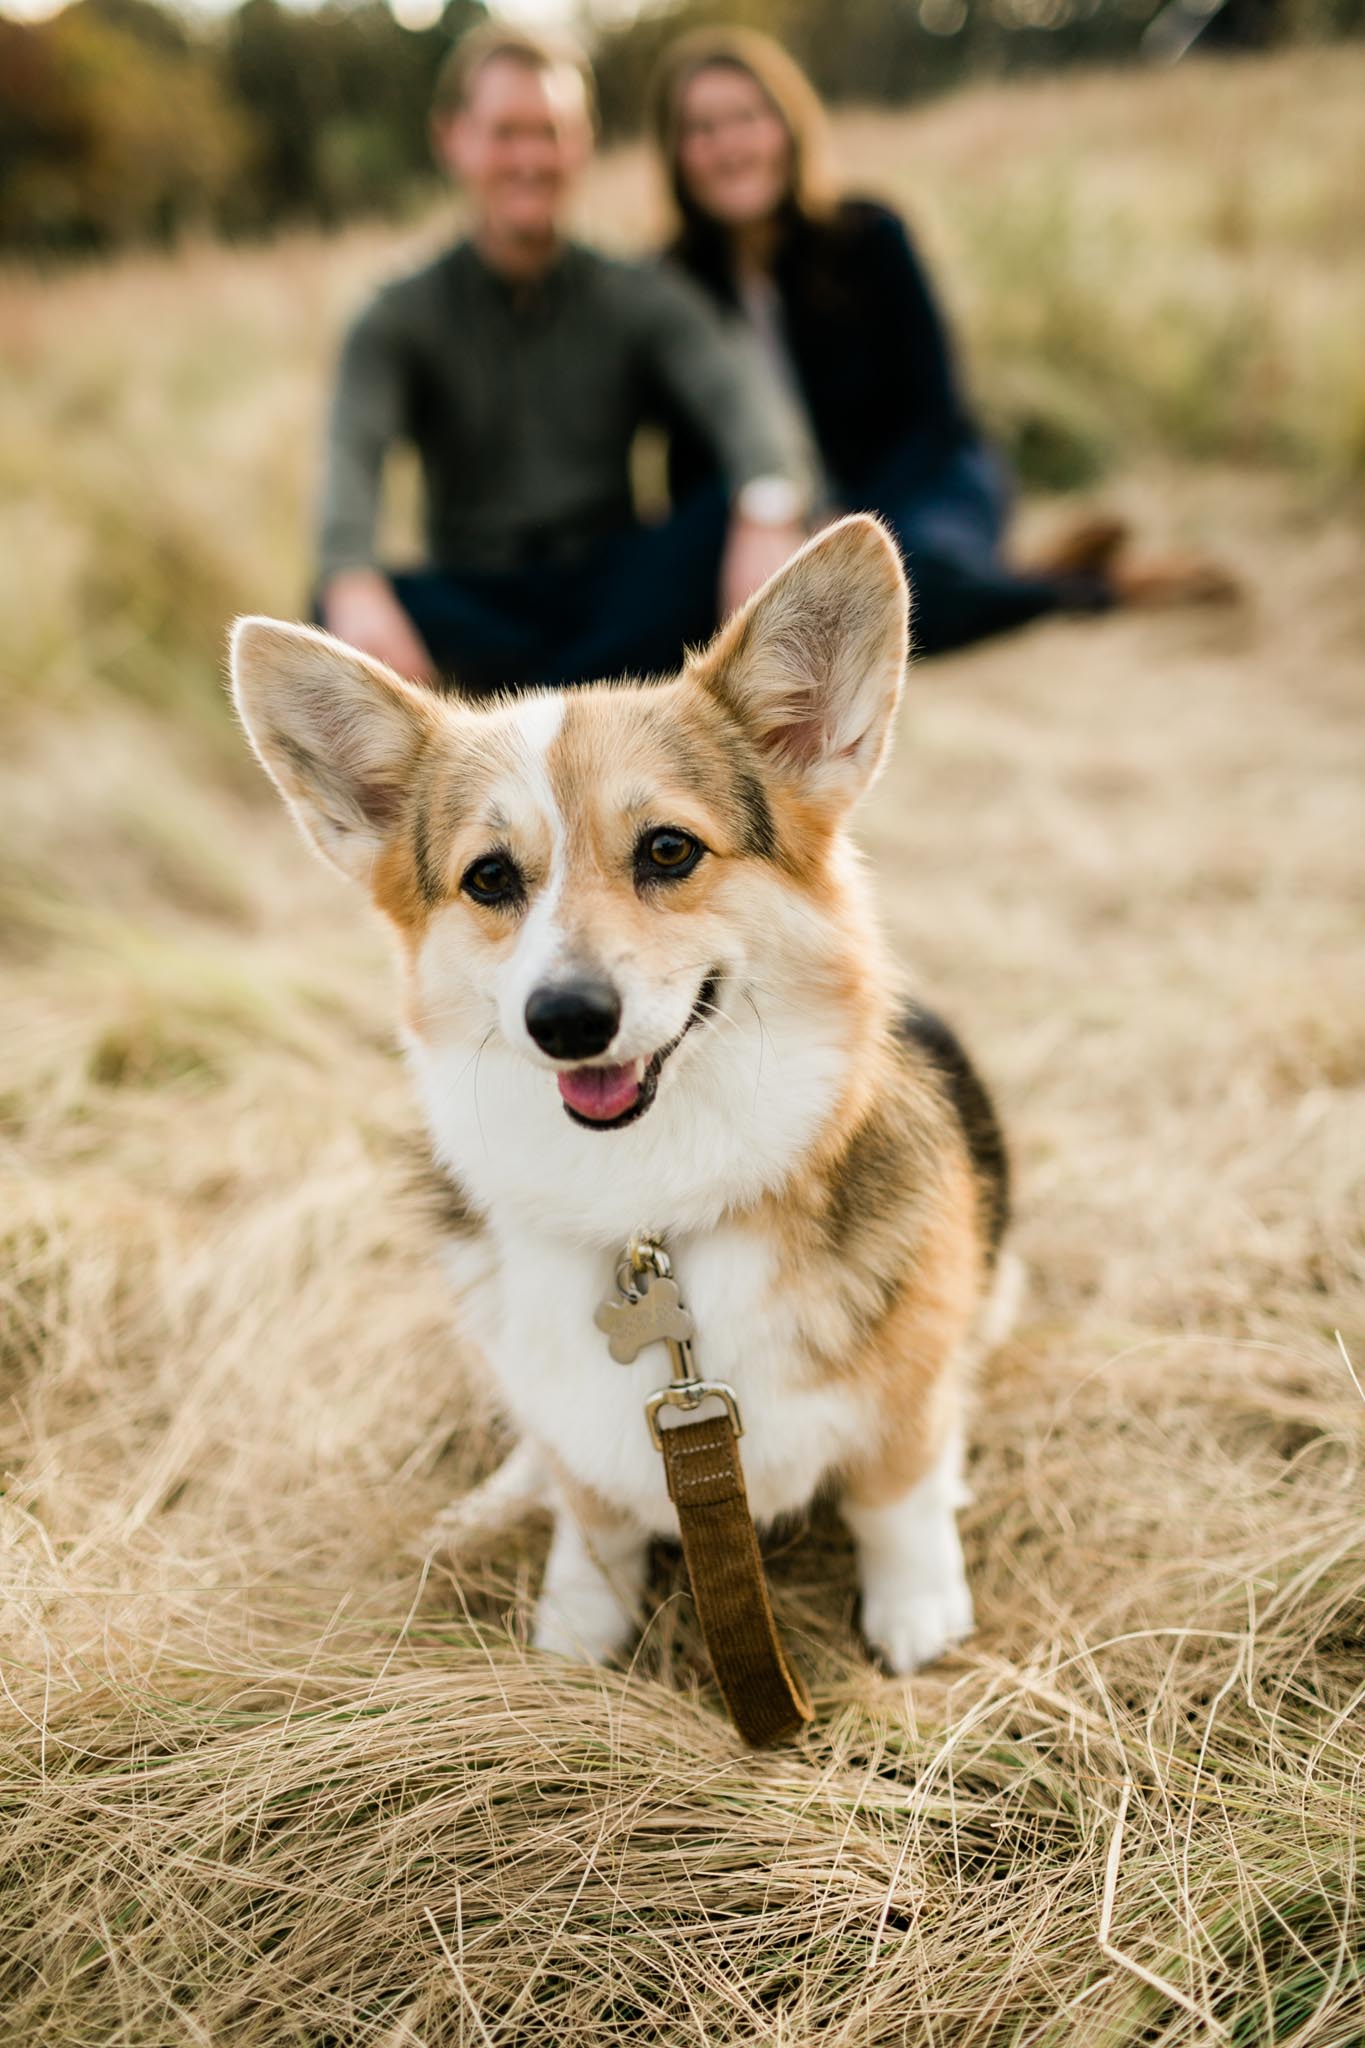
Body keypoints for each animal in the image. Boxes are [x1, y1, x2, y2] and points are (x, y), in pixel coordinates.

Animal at [229, 516, 1010, 1679]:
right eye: (490, 878)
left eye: (669, 850)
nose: (564, 1018)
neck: (649, 1200)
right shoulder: (580, 1435)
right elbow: (590, 1518)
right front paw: (577, 1629)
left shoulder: (904, 1386)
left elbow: (895, 1488)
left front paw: (916, 1606)